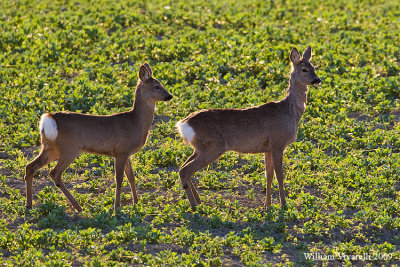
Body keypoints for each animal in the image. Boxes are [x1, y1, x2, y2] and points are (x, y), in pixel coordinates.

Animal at [23, 63, 172, 214]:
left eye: (161, 84)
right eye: (157, 86)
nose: (169, 96)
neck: (136, 123)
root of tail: (49, 118)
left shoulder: (127, 154)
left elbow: (131, 177)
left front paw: (136, 203)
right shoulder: (121, 152)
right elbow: (119, 179)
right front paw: (117, 207)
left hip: (51, 148)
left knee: (30, 166)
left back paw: (29, 205)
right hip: (70, 149)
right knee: (54, 173)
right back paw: (78, 207)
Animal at [177, 47, 320, 210]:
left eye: (314, 67)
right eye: (304, 69)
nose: (317, 80)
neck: (290, 111)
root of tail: (183, 124)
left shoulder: (267, 148)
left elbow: (268, 175)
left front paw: (267, 205)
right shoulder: (278, 143)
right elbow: (280, 175)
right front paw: (284, 205)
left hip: (199, 148)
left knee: (182, 168)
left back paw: (199, 201)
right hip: (214, 147)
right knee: (185, 170)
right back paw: (194, 205)